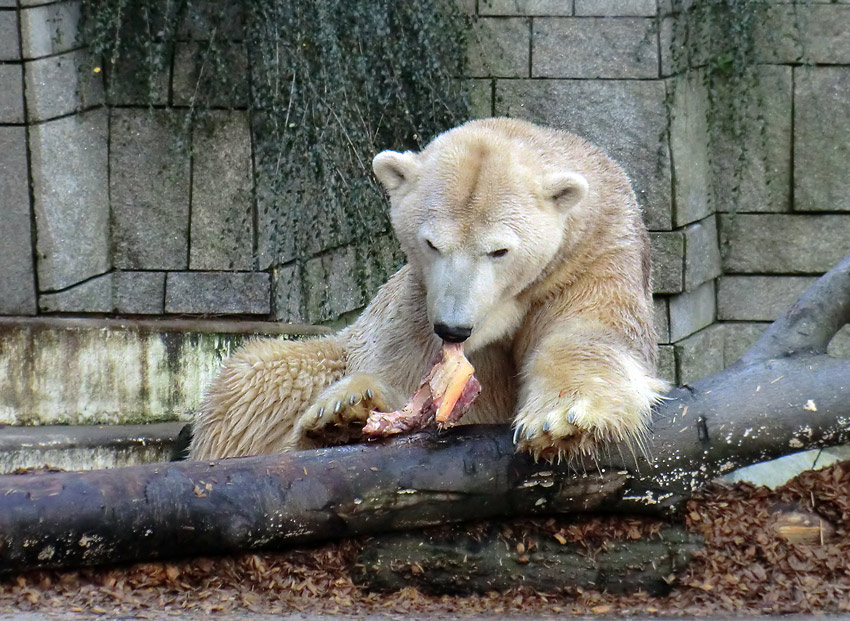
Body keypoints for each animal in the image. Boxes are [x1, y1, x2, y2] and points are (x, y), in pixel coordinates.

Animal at [189, 118, 664, 462]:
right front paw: (343, 410)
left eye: (499, 250)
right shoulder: (415, 305)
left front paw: (563, 420)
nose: (453, 328)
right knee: (254, 378)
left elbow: (589, 336)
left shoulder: (595, 259)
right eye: (432, 243)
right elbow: (398, 367)